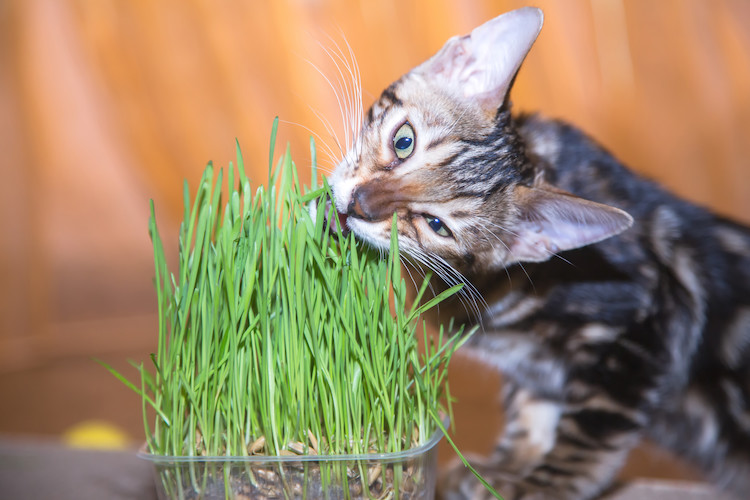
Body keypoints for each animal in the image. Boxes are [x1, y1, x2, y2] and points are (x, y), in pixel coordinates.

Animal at [328, 6, 750, 500]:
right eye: (403, 141)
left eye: (436, 226)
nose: (357, 205)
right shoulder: (536, 371)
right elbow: (531, 409)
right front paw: (503, 468)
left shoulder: (645, 332)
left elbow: (589, 433)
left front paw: (539, 485)